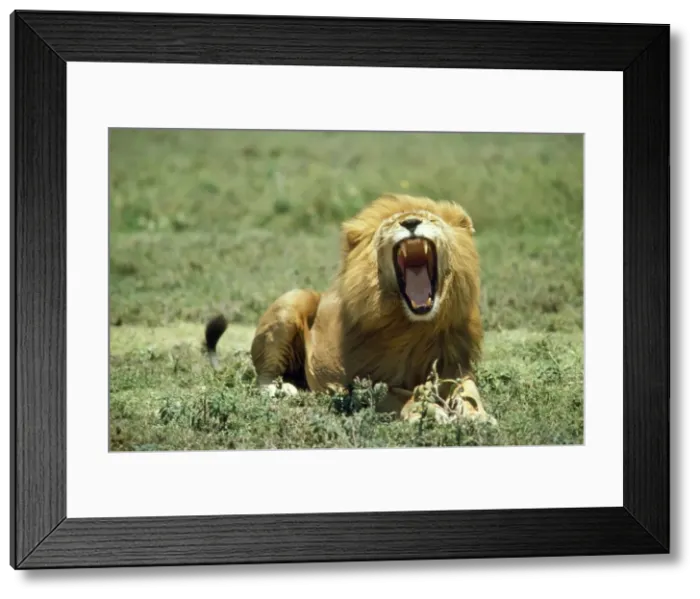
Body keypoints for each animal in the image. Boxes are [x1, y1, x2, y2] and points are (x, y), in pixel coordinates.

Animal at [205, 193, 495, 424]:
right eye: (391, 224)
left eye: (431, 219)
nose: (410, 223)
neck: (415, 324)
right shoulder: (364, 383)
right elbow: (399, 396)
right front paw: (426, 411)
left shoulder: (455, 365)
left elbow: (469, 391)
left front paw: (476, 415)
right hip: (290, 301)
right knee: (264, 378)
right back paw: (282, 390)